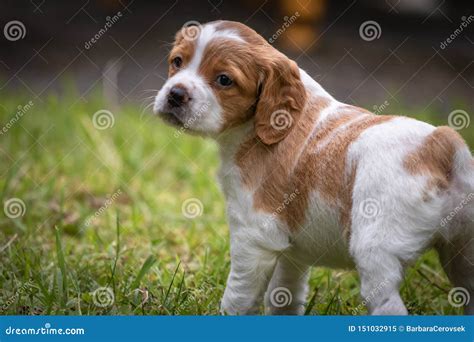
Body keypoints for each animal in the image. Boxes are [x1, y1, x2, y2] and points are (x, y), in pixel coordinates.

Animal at [153, 20, 474, 316]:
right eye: (177, 61)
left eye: (223, 80)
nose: (175, 94)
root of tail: (440, 143)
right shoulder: (292, 251)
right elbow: (284, 294)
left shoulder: (252, 237)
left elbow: (238, 297)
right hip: (464, 253)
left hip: (377, 253)